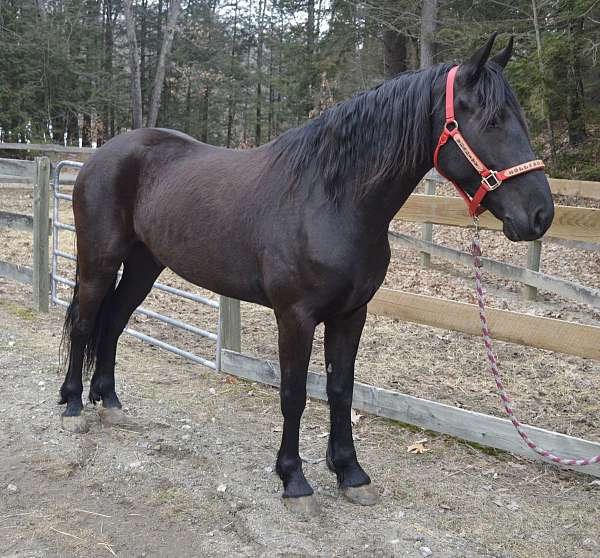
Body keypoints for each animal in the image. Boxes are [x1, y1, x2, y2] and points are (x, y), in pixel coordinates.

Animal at [59, 36, 552, 516]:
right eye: (492, 120)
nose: (540, 215)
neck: (331, 200)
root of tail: (101, 154)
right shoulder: (294, 317)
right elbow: (294, 393)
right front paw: (294, 481)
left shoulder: (351, 314)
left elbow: (340, 390)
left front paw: (351, 474)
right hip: (99, 261)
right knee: (85, 322)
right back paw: (74, 405)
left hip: (145, 265)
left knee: (113, 322)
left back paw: (110, 403)